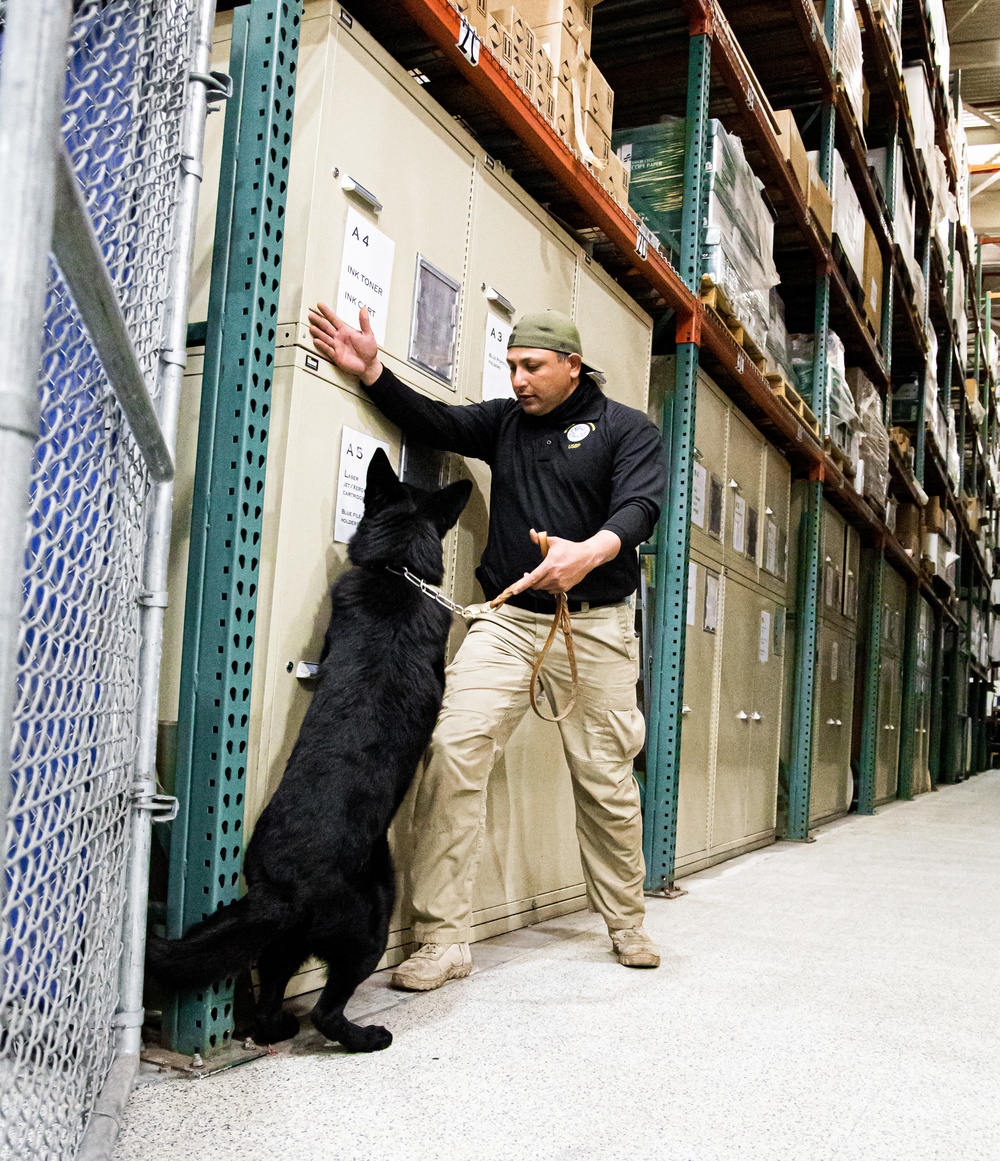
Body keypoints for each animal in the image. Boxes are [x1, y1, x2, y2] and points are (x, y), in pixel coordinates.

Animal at [148, 450, 471, 1054]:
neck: (396, 570)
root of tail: (284, 891)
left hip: (285, 943)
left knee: (270, 991)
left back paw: (277, 1028)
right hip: (373, 916)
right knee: (327, 1007)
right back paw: (366, 1037)